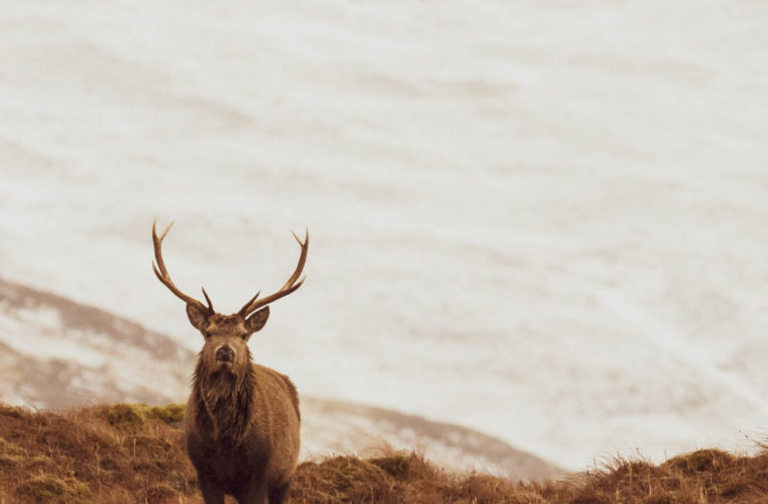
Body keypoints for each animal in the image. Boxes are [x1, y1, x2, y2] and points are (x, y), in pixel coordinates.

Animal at [151, 220, 306, 504]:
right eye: (208, 332)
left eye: (243, 335)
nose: (226, 352)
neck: (226, 446)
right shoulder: (204, 473)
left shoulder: (259, 475)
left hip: (286, 474)